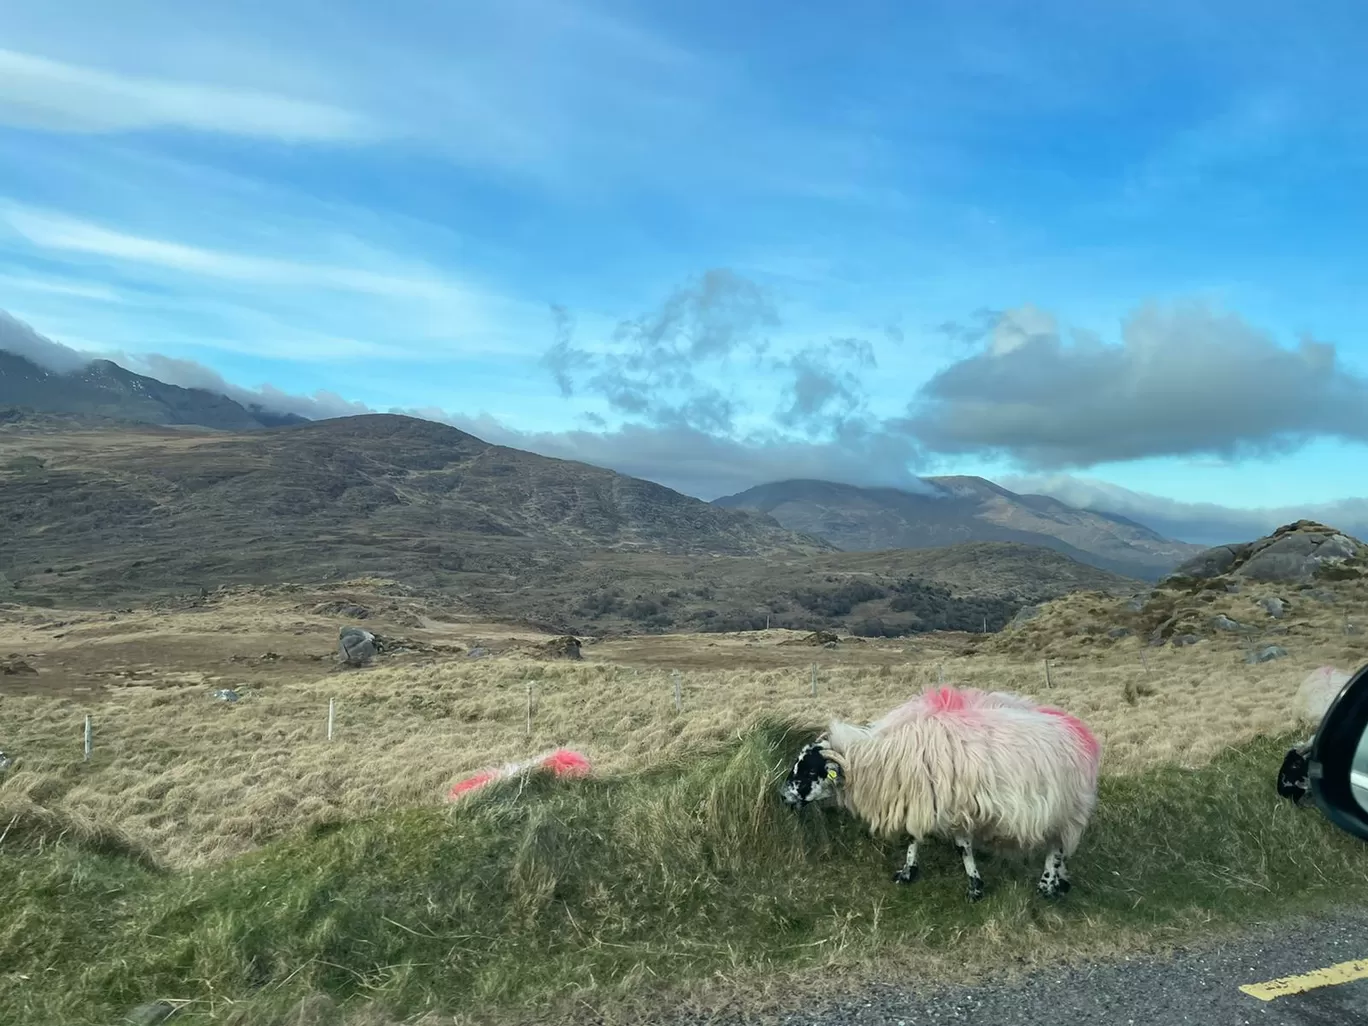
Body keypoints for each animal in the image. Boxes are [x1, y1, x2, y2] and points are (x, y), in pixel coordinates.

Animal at [782, 686, 1099, 902]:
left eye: (809, 772)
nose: (784, 797)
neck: (881, 758)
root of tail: (1079, 732)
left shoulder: (952, 804)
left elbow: (962, 847)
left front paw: (974, 887)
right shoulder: (922, 799)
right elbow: (914, 838)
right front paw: (907, 872)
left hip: (1062, 808)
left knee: (1056, 847)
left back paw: (1047, 885)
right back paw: (1061, 881)